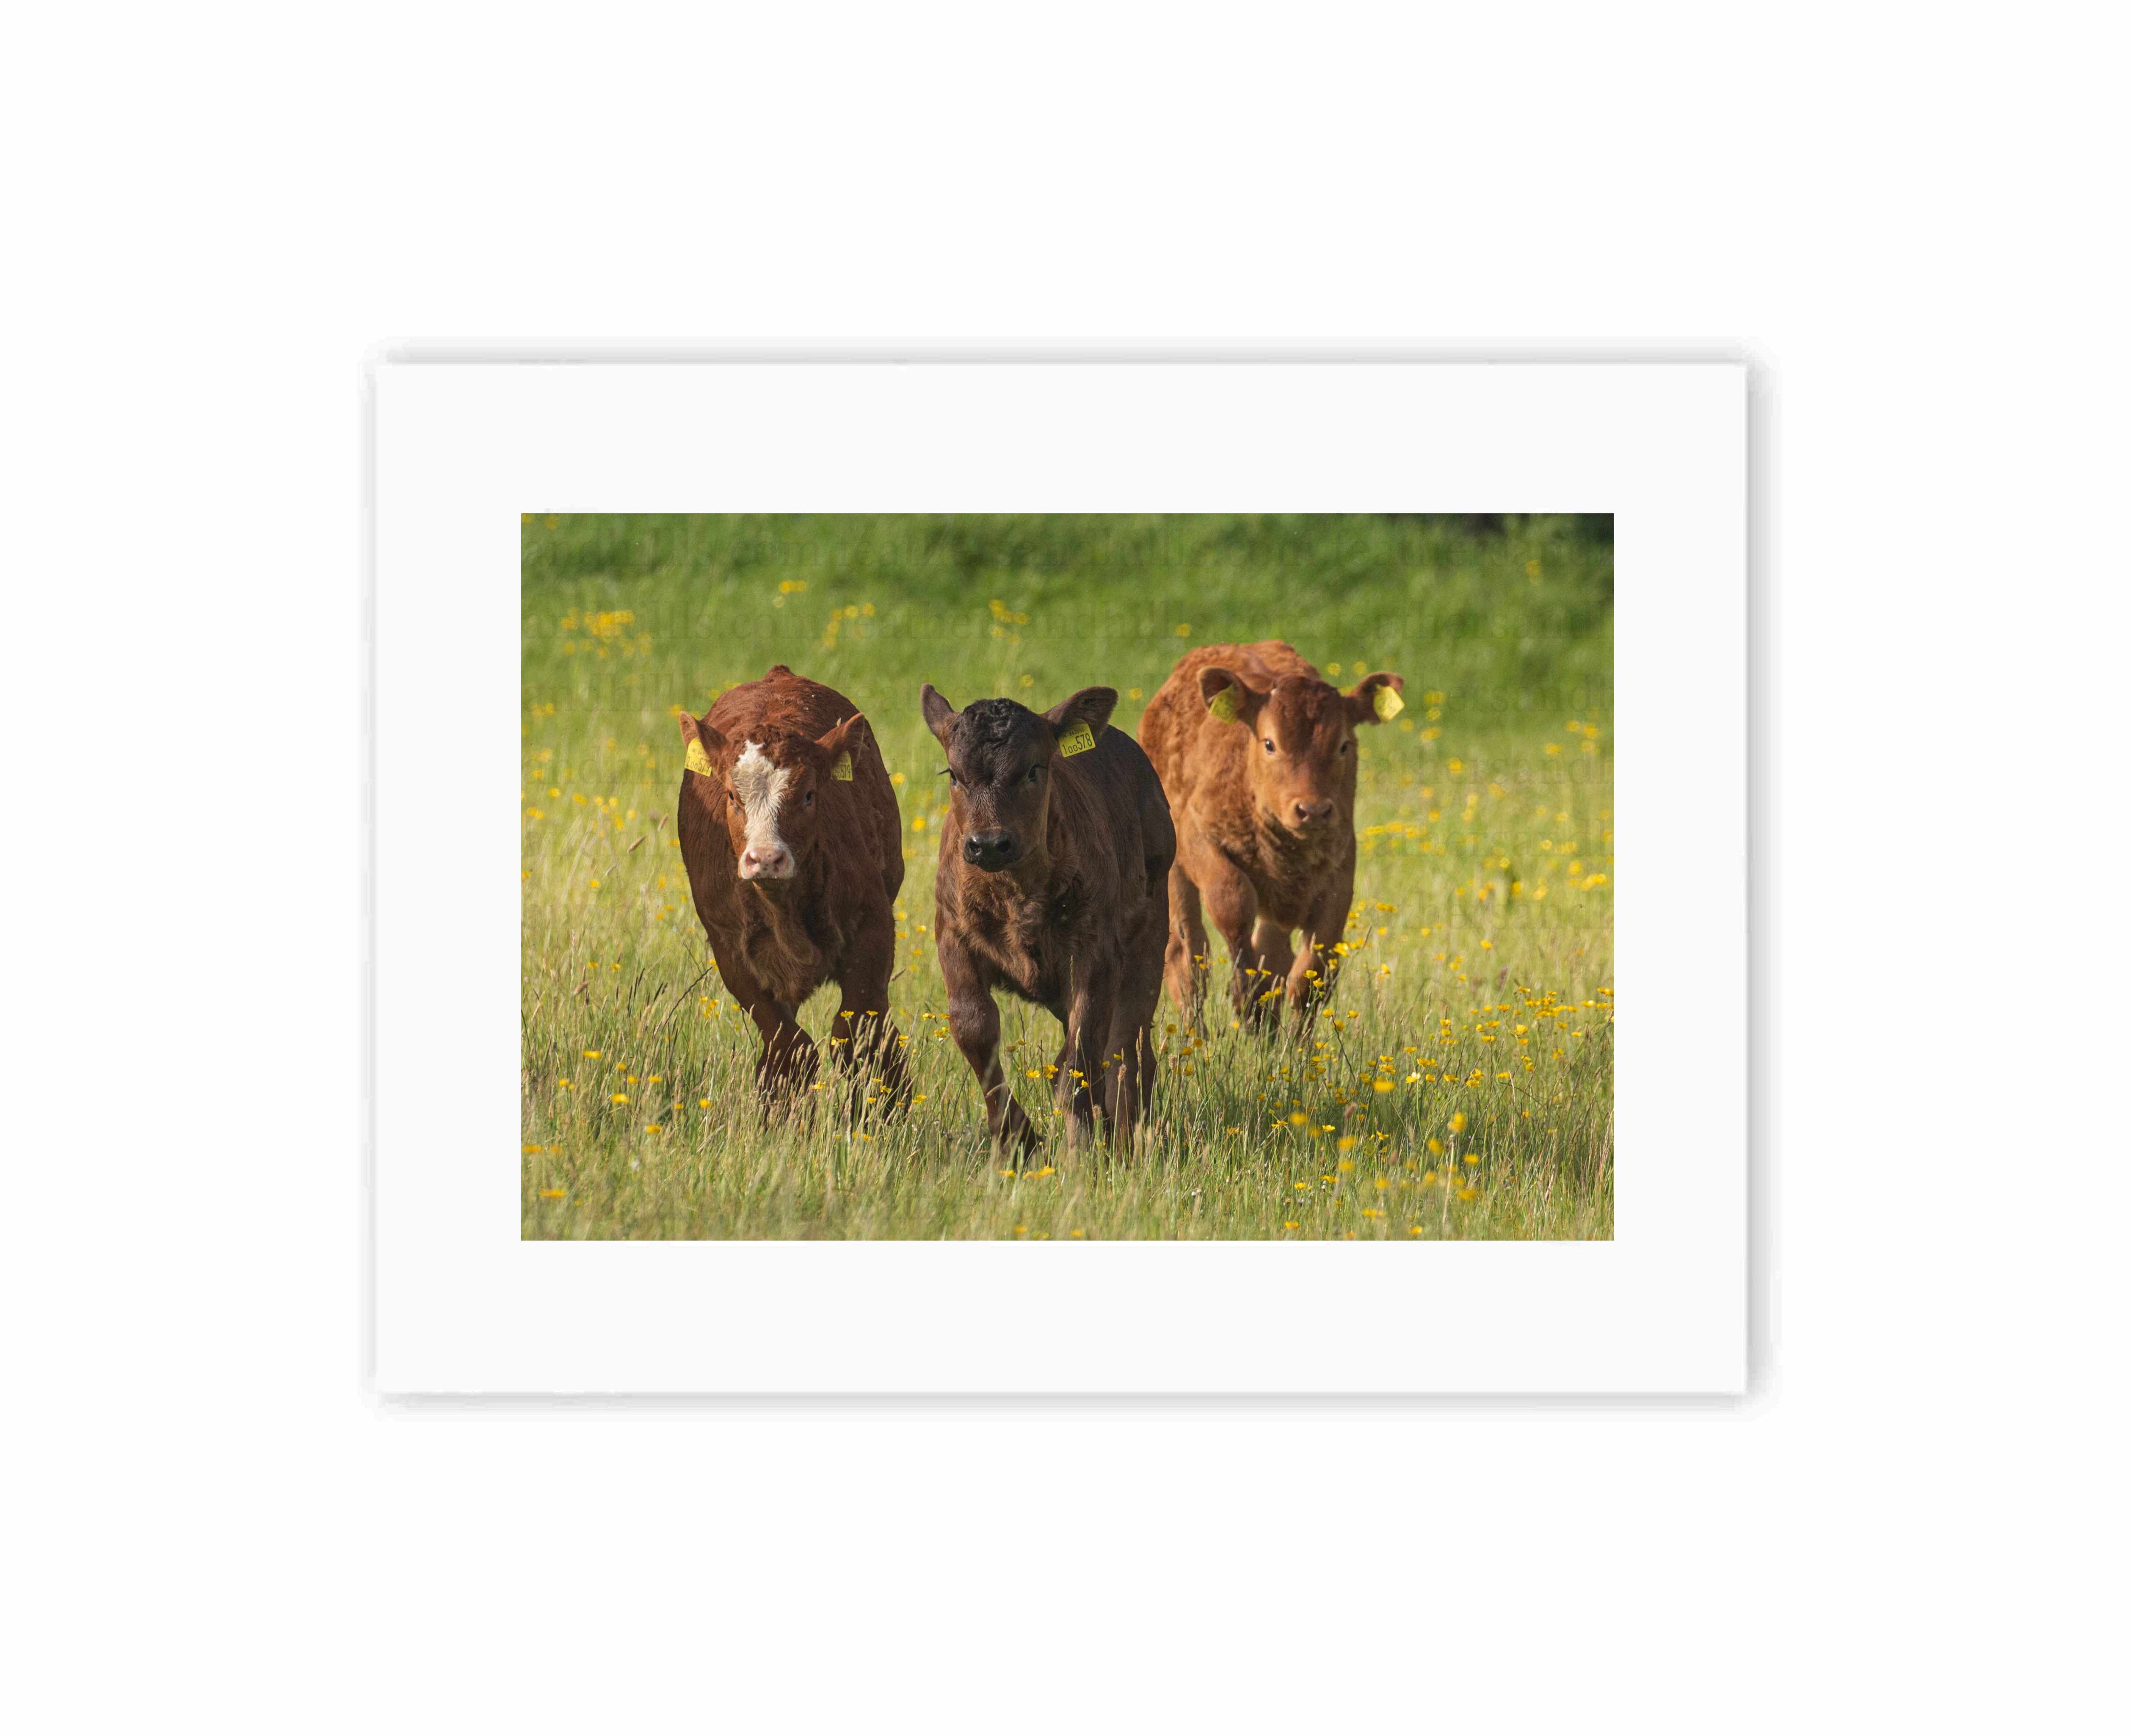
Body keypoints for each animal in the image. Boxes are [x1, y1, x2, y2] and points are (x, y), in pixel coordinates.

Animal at [675, 664, 910, 1118]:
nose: (766, 859)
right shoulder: (729, 947)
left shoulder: (872, 924)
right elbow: (789, 1045)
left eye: (808, 796)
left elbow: (858, 1030)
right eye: (732, 796)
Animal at [921, 682, 1176, 1158]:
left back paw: (1128, 1137)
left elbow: (1083, 1048)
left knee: (1128, 1046)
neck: (1017, 895)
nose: (989, 843)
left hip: (1150, 936)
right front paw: (1018, 1137)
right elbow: (974, 1028)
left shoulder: (1095, 953)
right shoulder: (954, 937)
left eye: (1033, 770)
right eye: (953, 775)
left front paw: (1080, 1150)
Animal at [1137, 642, 1406, 1034]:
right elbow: (1233, 906)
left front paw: (1294, 1043)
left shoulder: (1339, 874)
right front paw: (1248, 1004)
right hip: (1172, 870)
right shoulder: (1200, 841)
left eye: (1344, 745)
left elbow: (1310, 972)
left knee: (1272, 951)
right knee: (1186, 955)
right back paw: (1195, 1036)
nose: (1313, 810)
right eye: (1269, 743)